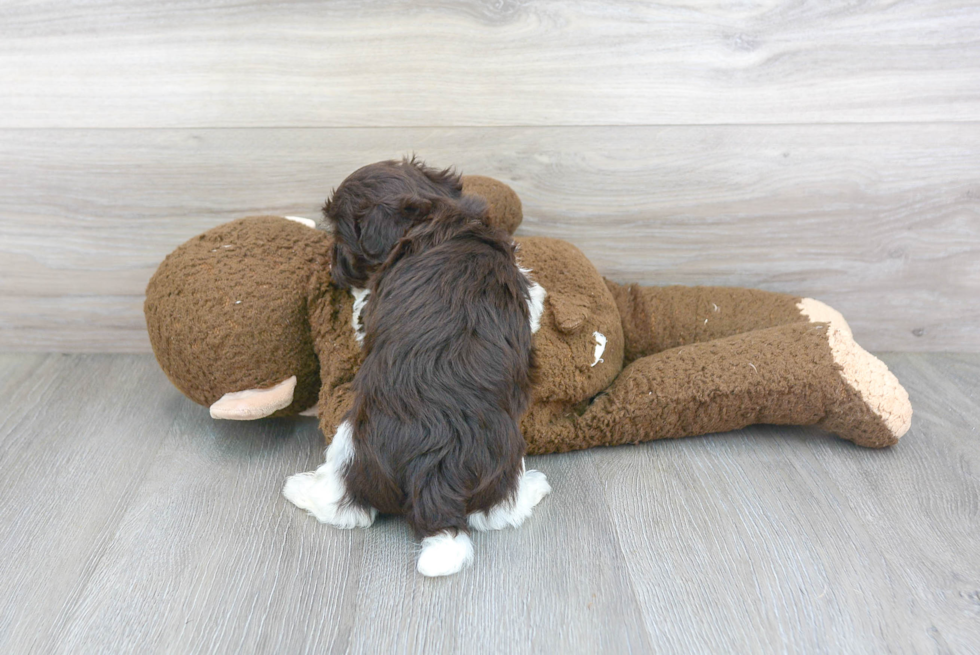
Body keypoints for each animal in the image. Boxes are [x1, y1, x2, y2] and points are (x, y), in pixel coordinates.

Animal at [284, 160, 552, 580]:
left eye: (341, 238)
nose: (333, 269)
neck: (430, 214)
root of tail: (435, 473)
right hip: (502, 458)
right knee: (496, 512)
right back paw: (533, 488)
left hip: (352, 441)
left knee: (349, 507)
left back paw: (300, 490)